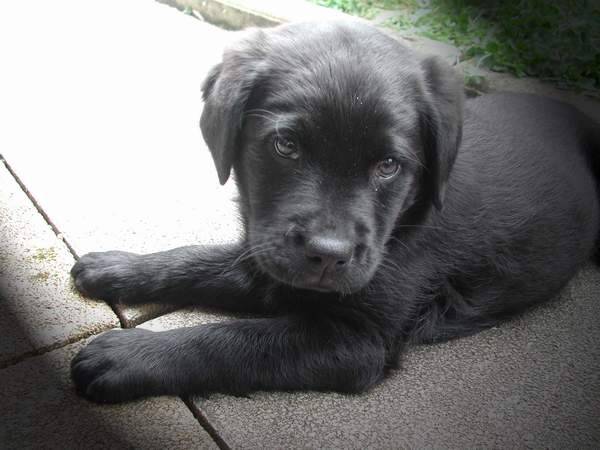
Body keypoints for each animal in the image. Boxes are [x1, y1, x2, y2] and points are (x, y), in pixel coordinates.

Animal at [70, 21, 600, 403]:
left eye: (389, 165)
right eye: (286, 146)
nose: (328, 255)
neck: (404, 223)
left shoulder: (358, 342)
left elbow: (235, 339)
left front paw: (129, 356)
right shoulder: (268, 253)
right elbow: (196, 259)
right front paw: (118, 267)